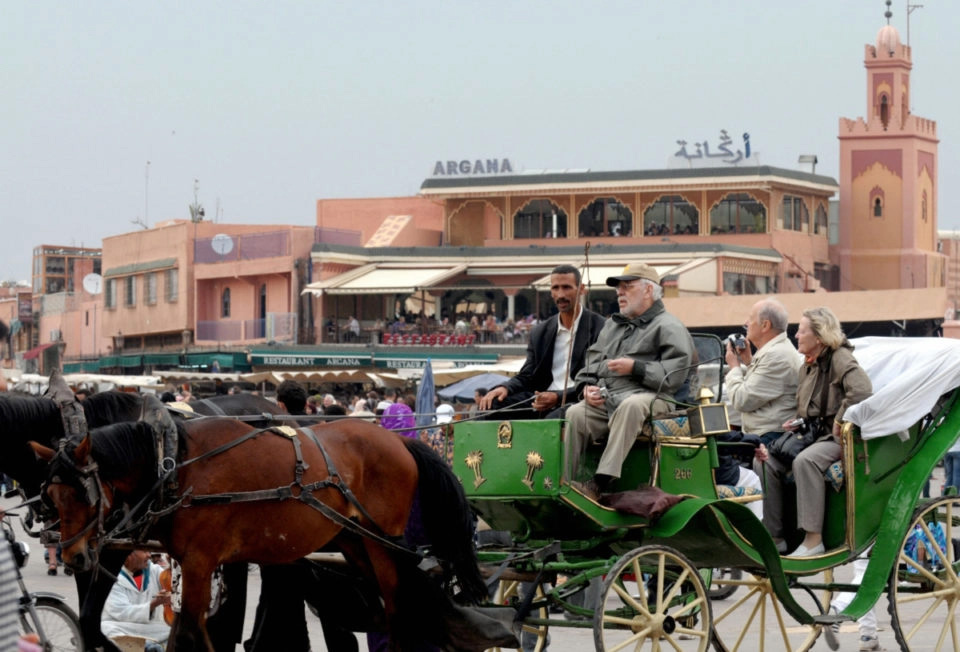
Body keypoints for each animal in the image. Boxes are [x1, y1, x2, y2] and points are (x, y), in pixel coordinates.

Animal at [32, 400, 484, 648]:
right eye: (52, 495)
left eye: (85, 494)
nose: (72, 556)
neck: (174, 462)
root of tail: (400, 440)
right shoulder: (192, 563)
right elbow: (189, 632)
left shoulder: (199, 560)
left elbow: (191, 633)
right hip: (353, 539)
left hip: (382, 541)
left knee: (398, 607)